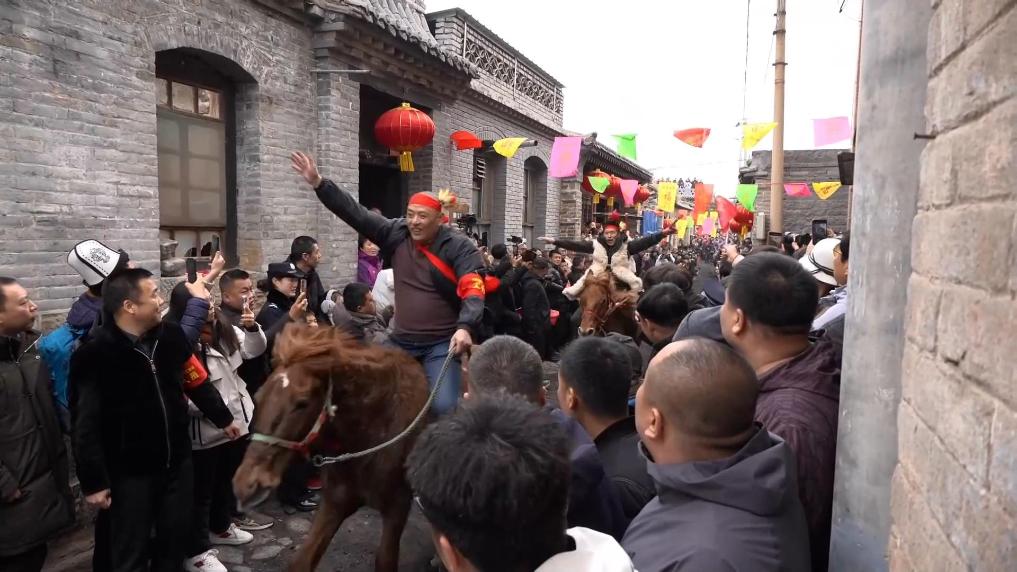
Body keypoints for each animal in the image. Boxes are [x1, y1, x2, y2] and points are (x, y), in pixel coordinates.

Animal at [233, 324, 429, 572]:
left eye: (302, 402)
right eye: (258, 396)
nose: (246, 484)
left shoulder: (397, 507)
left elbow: (385, 560)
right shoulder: (335, 502)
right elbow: (301, 562)